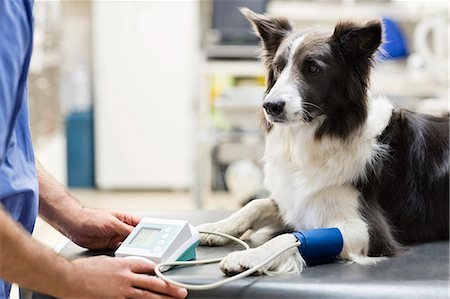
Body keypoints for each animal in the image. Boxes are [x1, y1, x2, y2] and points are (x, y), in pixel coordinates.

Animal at [199, 8, 448, 276]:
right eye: (278, 68)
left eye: (313, 68)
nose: (270, 106)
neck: (321, 136)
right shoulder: (297, 202)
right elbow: (257, 203)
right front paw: (217, 227)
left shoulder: (371, 231)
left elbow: (289, 237)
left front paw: (252, 256)